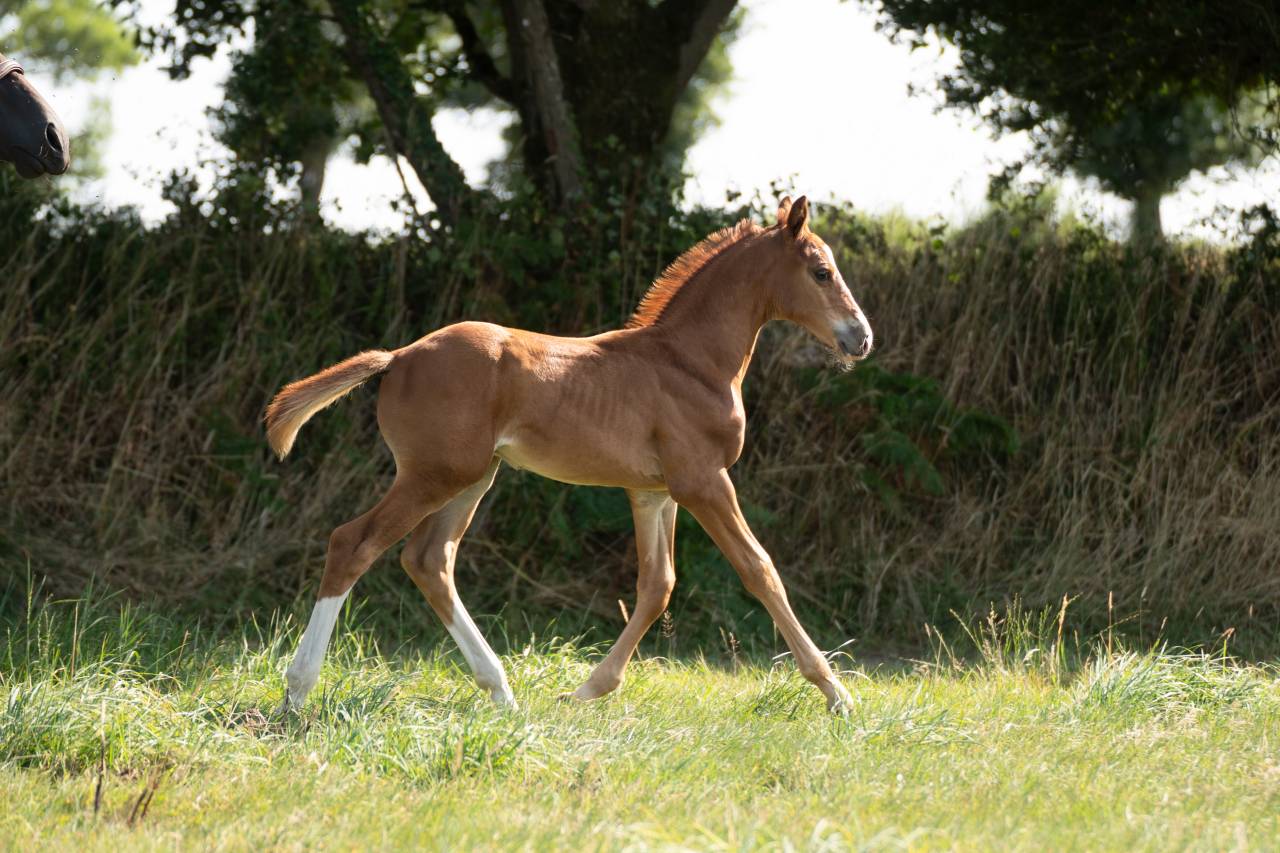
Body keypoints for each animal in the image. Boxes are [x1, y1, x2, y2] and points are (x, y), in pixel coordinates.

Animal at [267, 196, 874, 714]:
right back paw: (297, 692)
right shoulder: (703, 481)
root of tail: (397, 357)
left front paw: (587, 689)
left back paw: (502, 692)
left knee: (429, 560)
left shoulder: (652, 491)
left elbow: (657, 585)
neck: (689, 362)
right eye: (822, 271)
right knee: (354, 544)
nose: (861, 337)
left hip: (471, 477)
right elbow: (759, 569)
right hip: (434, 475)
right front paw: (837, 694)